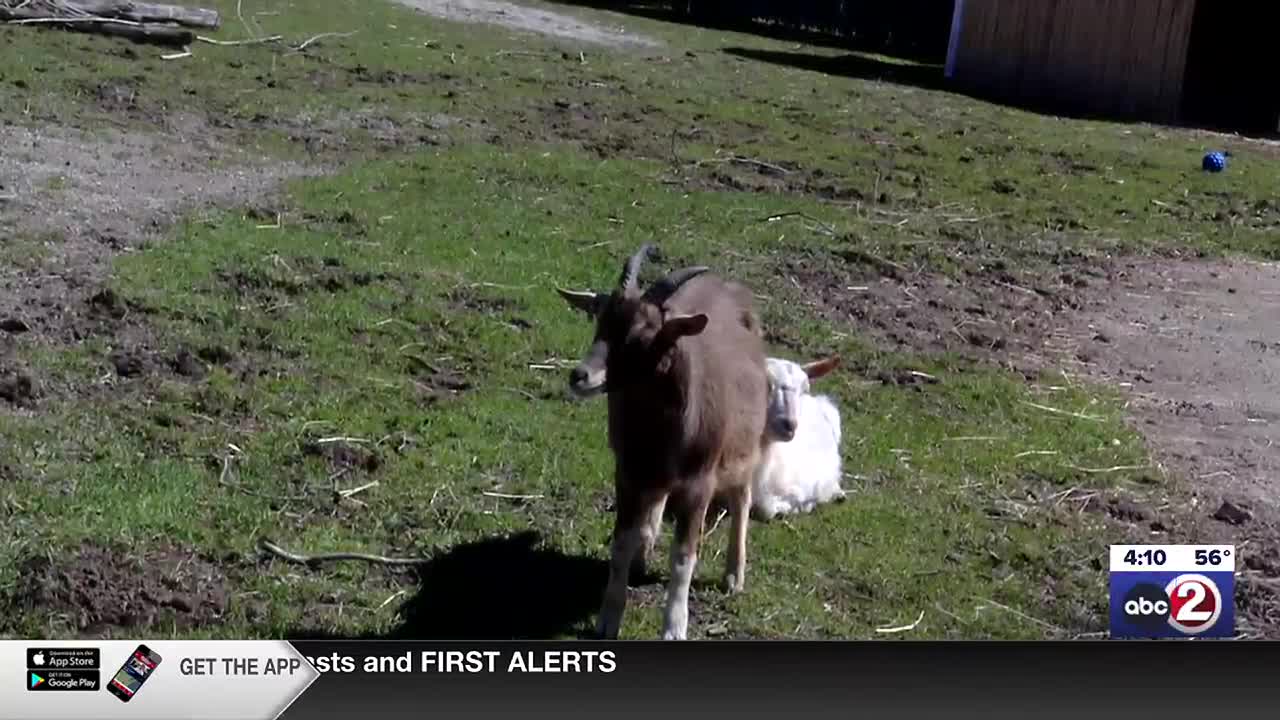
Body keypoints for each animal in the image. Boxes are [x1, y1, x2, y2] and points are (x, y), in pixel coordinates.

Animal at [557, 245, 768, 640]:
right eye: (600, 321)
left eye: (643, 336)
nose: (580, 376)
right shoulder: (628, 472)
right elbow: (621, 544)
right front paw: (608, 620)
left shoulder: (700, 483)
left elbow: (684, 557)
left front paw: (674, 626)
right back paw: (645, 551)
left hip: (743, 448)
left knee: (742, 496)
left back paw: (734, 575)